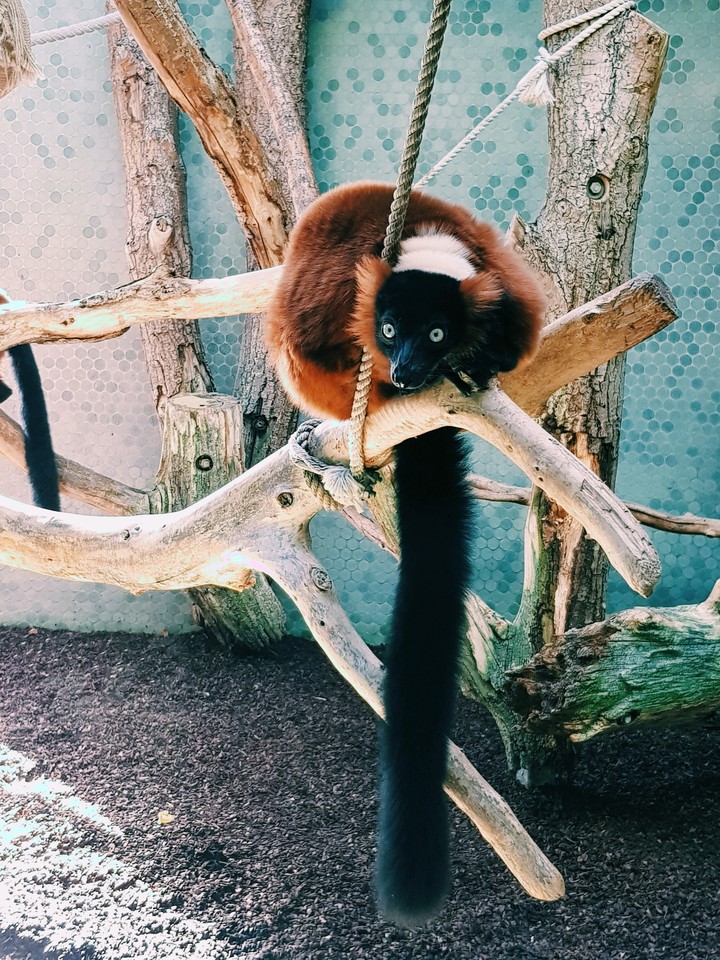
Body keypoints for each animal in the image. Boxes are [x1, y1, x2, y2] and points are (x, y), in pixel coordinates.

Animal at [265, 181, 546, 926]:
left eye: (436, 332)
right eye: (391, 331)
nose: (408, 367)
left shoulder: (503, 284)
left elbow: (517, 335)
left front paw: (477, 359)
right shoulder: (335, 297)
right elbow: (308, 345)